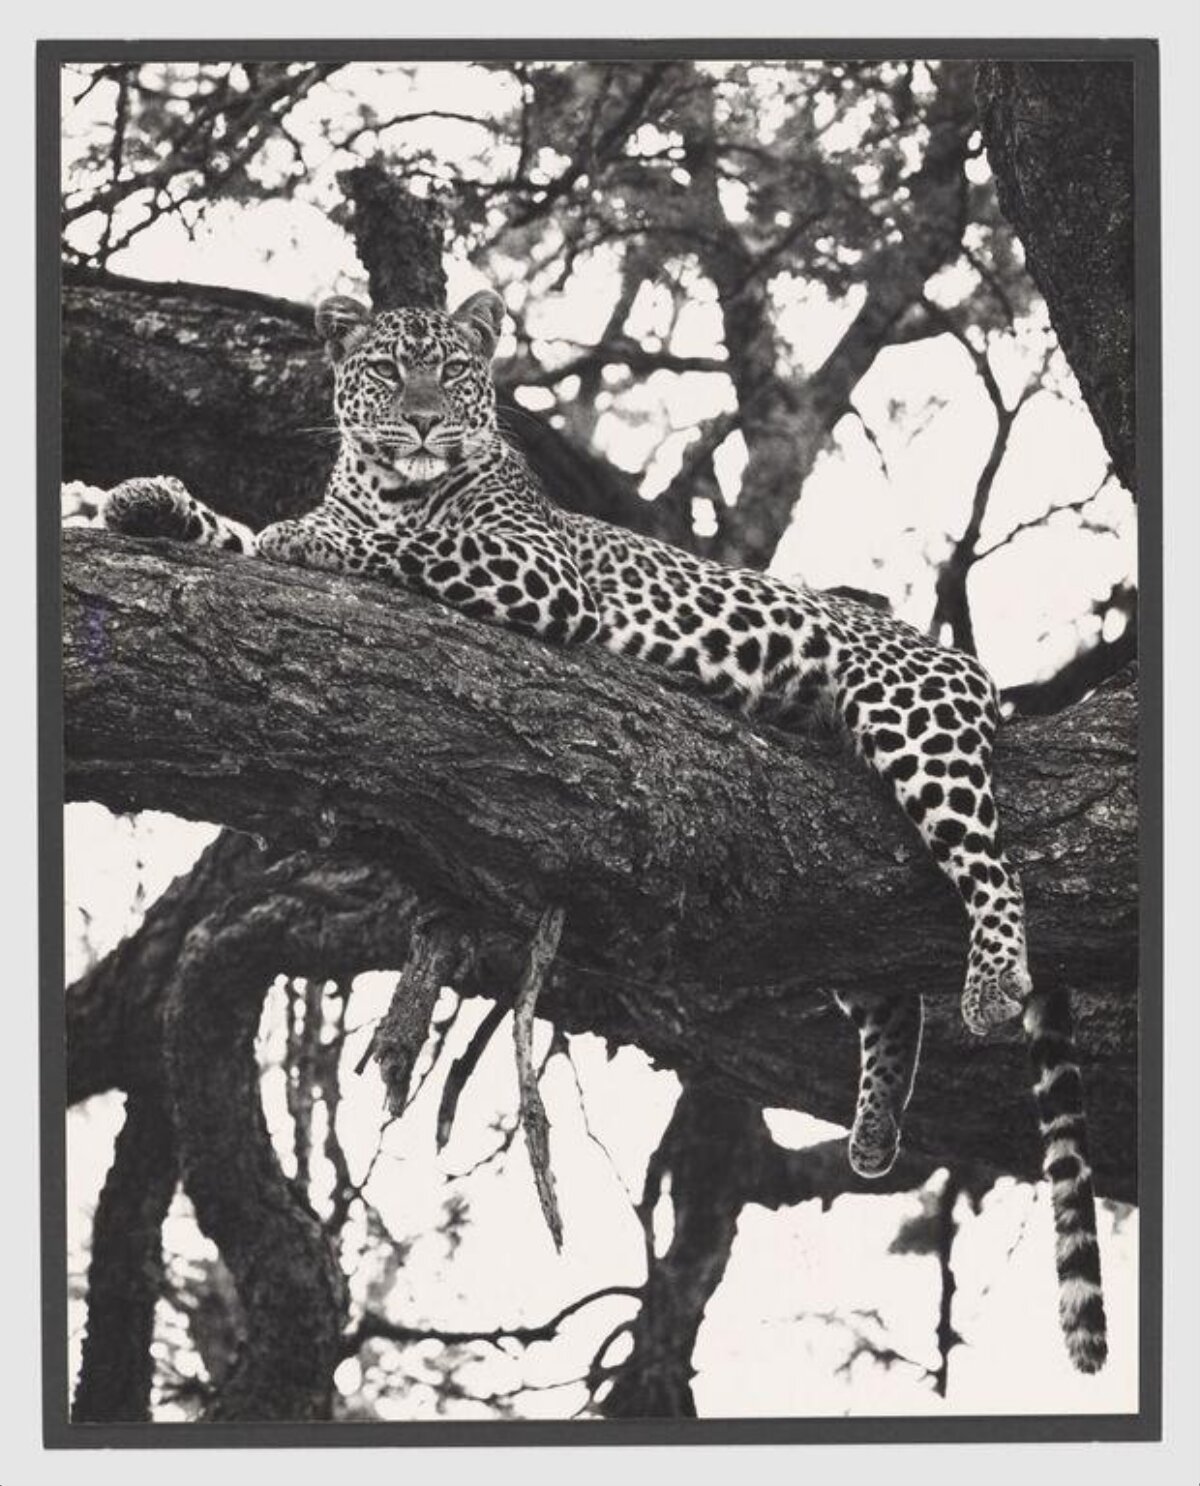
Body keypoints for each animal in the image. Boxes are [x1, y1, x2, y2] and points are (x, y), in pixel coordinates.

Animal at [102, 287, 1107, 1374]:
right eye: (386, 370)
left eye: (453, 371)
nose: (424, 424)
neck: (380, 483)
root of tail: (969, 668)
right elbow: (241, 534)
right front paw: (149, 501)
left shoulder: (539, 573)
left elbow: (402, 546)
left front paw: (309, 538)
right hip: (841, 901)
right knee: (887, 989)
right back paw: (878, 1130)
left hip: (911, 718)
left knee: (993, 867)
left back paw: (993, 981)